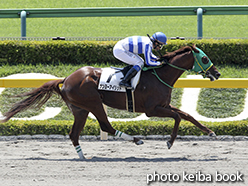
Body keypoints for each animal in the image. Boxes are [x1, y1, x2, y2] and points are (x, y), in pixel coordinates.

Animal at [0, 44, 221, 158]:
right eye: (204, 58)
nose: (217, 73)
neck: (160, 75)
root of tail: (66, 79)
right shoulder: (152, 109)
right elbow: (177, 117)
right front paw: (169, 142)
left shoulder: (164, 105)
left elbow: (187, 115)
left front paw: (210, 132)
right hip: (93, 103)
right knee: (106, 126)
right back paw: (136, 139)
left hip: (80, 109)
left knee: (74, 134)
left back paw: (83, 156)